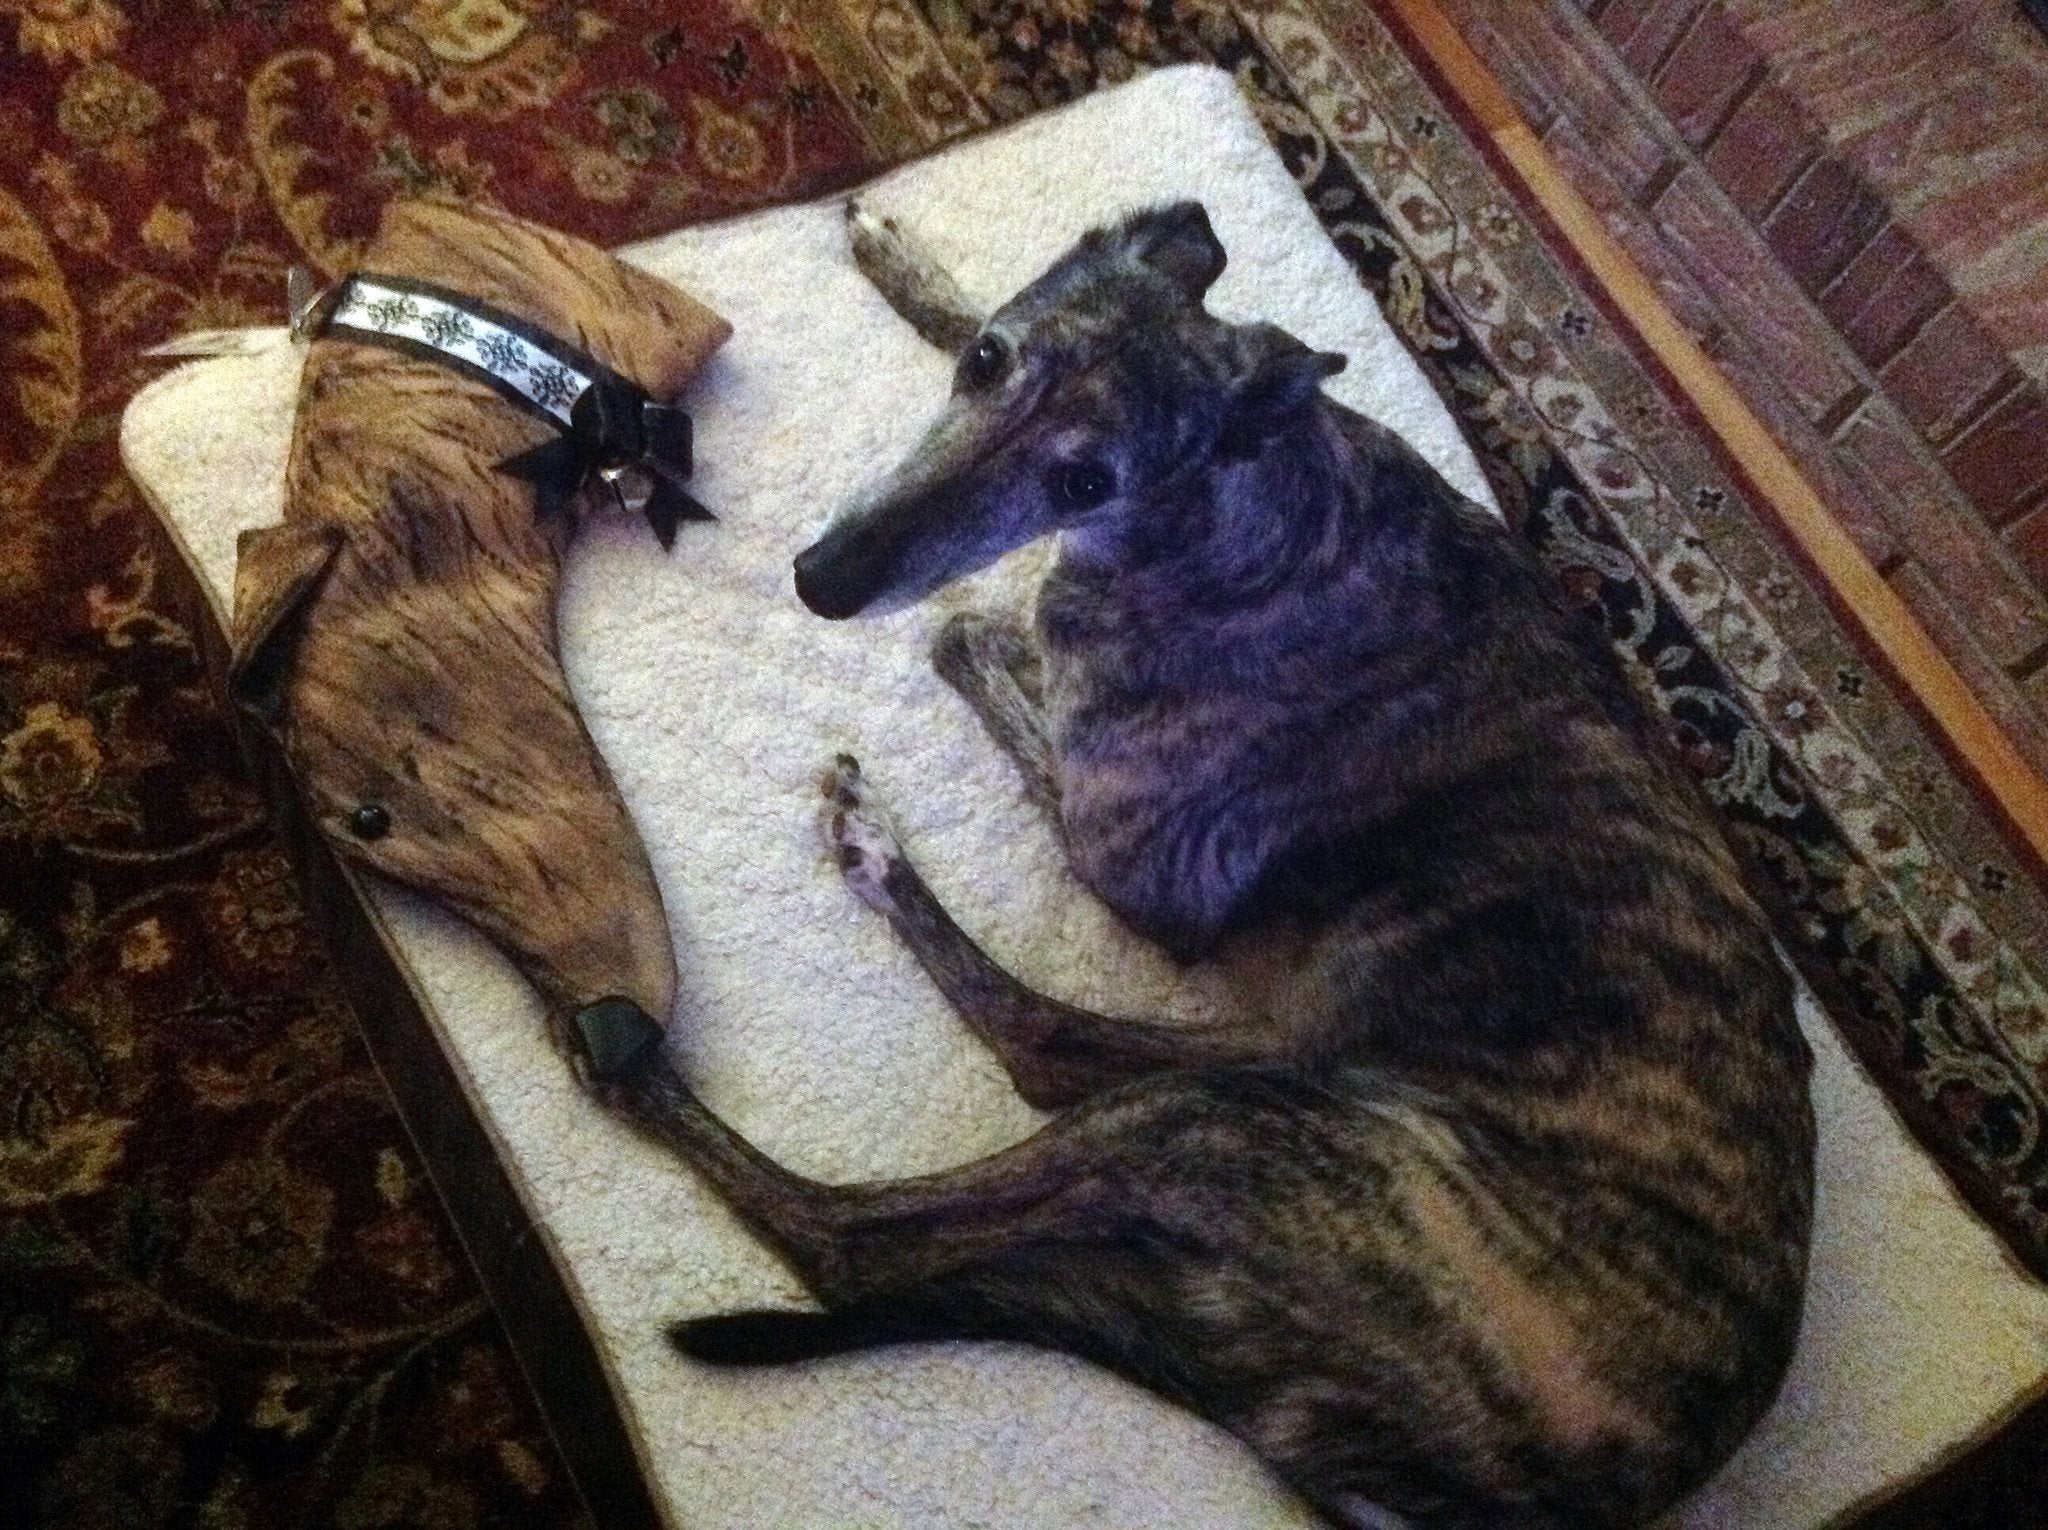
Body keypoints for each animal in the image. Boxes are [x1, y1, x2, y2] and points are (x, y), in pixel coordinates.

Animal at [589, 203, 1810, 1530]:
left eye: (1085, 479)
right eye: (990, 368)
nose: (820, 583)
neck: (1258, 501)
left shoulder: (1131, 848)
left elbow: (967, 631)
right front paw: (898, 255)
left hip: (1235, 1122)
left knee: (923, 1164)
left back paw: (696, 1012)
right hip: (1255, 1090)